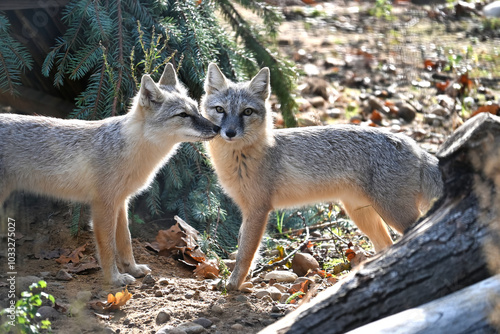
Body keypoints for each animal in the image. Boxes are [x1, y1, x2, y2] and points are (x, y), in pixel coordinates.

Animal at [0, 63, 219, 288]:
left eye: (196, 109)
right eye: (183, 115)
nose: (218, 128)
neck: (133, 150)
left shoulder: (121, 202)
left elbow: (126, 241)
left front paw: (132, 269)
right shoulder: (103, 205)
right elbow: (108, 246)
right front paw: (114, 278)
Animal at [201, 62, 444, 290]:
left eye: (247, 112)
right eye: (220, 109)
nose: (230, 132)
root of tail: (414, 145)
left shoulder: (258, 210)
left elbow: (246, 253)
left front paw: (233, 285)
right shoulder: (247, 209)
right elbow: (242, 247)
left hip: (393, 213)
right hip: (362, 215)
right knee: (387, 246)